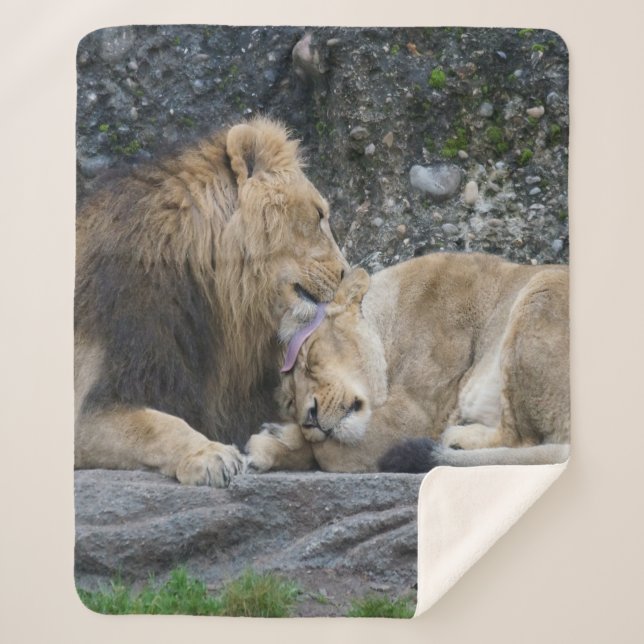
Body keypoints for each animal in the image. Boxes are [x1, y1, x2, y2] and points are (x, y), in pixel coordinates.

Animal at [75, 117, 347, 487]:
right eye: (319, 215)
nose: (346, 273)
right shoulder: (92, 400)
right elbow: (156, 425)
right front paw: (209, 455)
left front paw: (275, 441)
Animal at [245, 252, 570, 473]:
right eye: (290, 401)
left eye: (310, 358)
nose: (309, 418)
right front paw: (275, 440)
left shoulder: (417, 416)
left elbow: (327, 451)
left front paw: (274, 440)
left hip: (543, 287)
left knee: (522, 440)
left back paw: (458, 439)